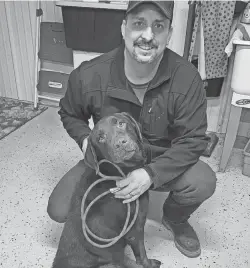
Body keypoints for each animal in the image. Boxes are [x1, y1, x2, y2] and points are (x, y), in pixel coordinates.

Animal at [52, 112, 162, 266]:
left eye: (121, 123)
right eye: (101, 138)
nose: (120, 143)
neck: (117, 173)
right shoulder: (135, 229)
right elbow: (142, 255)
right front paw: (149, 264)